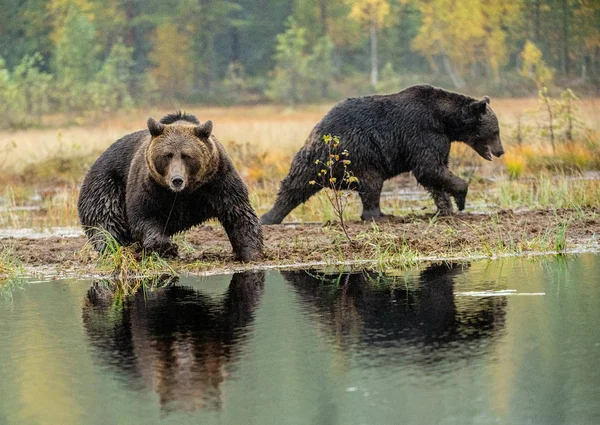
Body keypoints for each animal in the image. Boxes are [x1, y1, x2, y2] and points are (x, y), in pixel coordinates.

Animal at [77, 111, 262, 260]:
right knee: (107, 221)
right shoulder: (149, 187)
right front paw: (169, 248)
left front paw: (251, 252)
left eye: (187, 155)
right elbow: (144, 217)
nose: (177, 179)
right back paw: (117, 249)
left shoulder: (218, 181)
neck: (184, 192)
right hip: (106, 185)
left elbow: (237, 212)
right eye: (167, 155)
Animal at [262, 84, 506, 224]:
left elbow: (435, 173)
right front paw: (461, 199)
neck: (445, 120)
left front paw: (445, 208)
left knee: (295, 184)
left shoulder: (437, 139)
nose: (501, 151)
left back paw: (270, 216)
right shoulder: (423, 133)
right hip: (359, 153)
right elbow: (429, 168)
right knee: (371, 184)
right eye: (496, 131)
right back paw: (381, 215)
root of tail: (325, 140)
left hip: (311, 156)